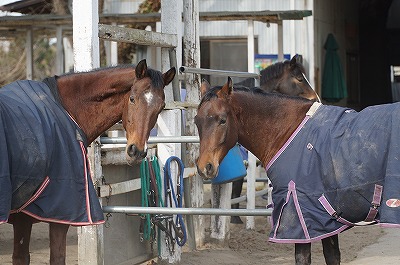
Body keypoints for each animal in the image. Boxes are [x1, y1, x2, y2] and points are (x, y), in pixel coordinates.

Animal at [0, 59, 175, 264]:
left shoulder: (22, 217)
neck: (65, 109)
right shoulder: (57, 215)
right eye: (132, 98)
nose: (137, 151)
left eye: (161, 107)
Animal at [194, 77, 400, 262]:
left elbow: (303, 257)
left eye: (222, 120)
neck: (287, 131)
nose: (205, 167)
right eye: (197, 121)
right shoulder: (326, 220)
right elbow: (332, 255)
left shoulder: (300, 214)